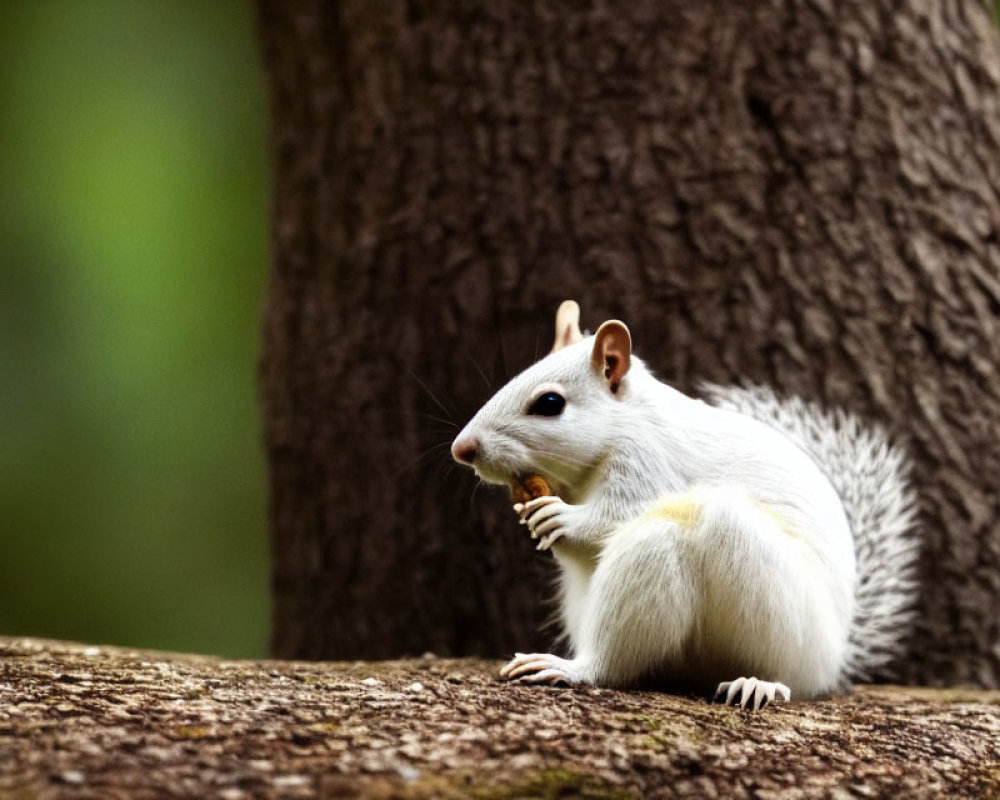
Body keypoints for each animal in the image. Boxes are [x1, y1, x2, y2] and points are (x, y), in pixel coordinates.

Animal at [450, 298, 916, 708]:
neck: (625, 422)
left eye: (550, 403)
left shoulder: (647, 462)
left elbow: (611, 519)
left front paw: (561, 518)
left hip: (774, 607)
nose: (462, 449)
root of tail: (836, 656)